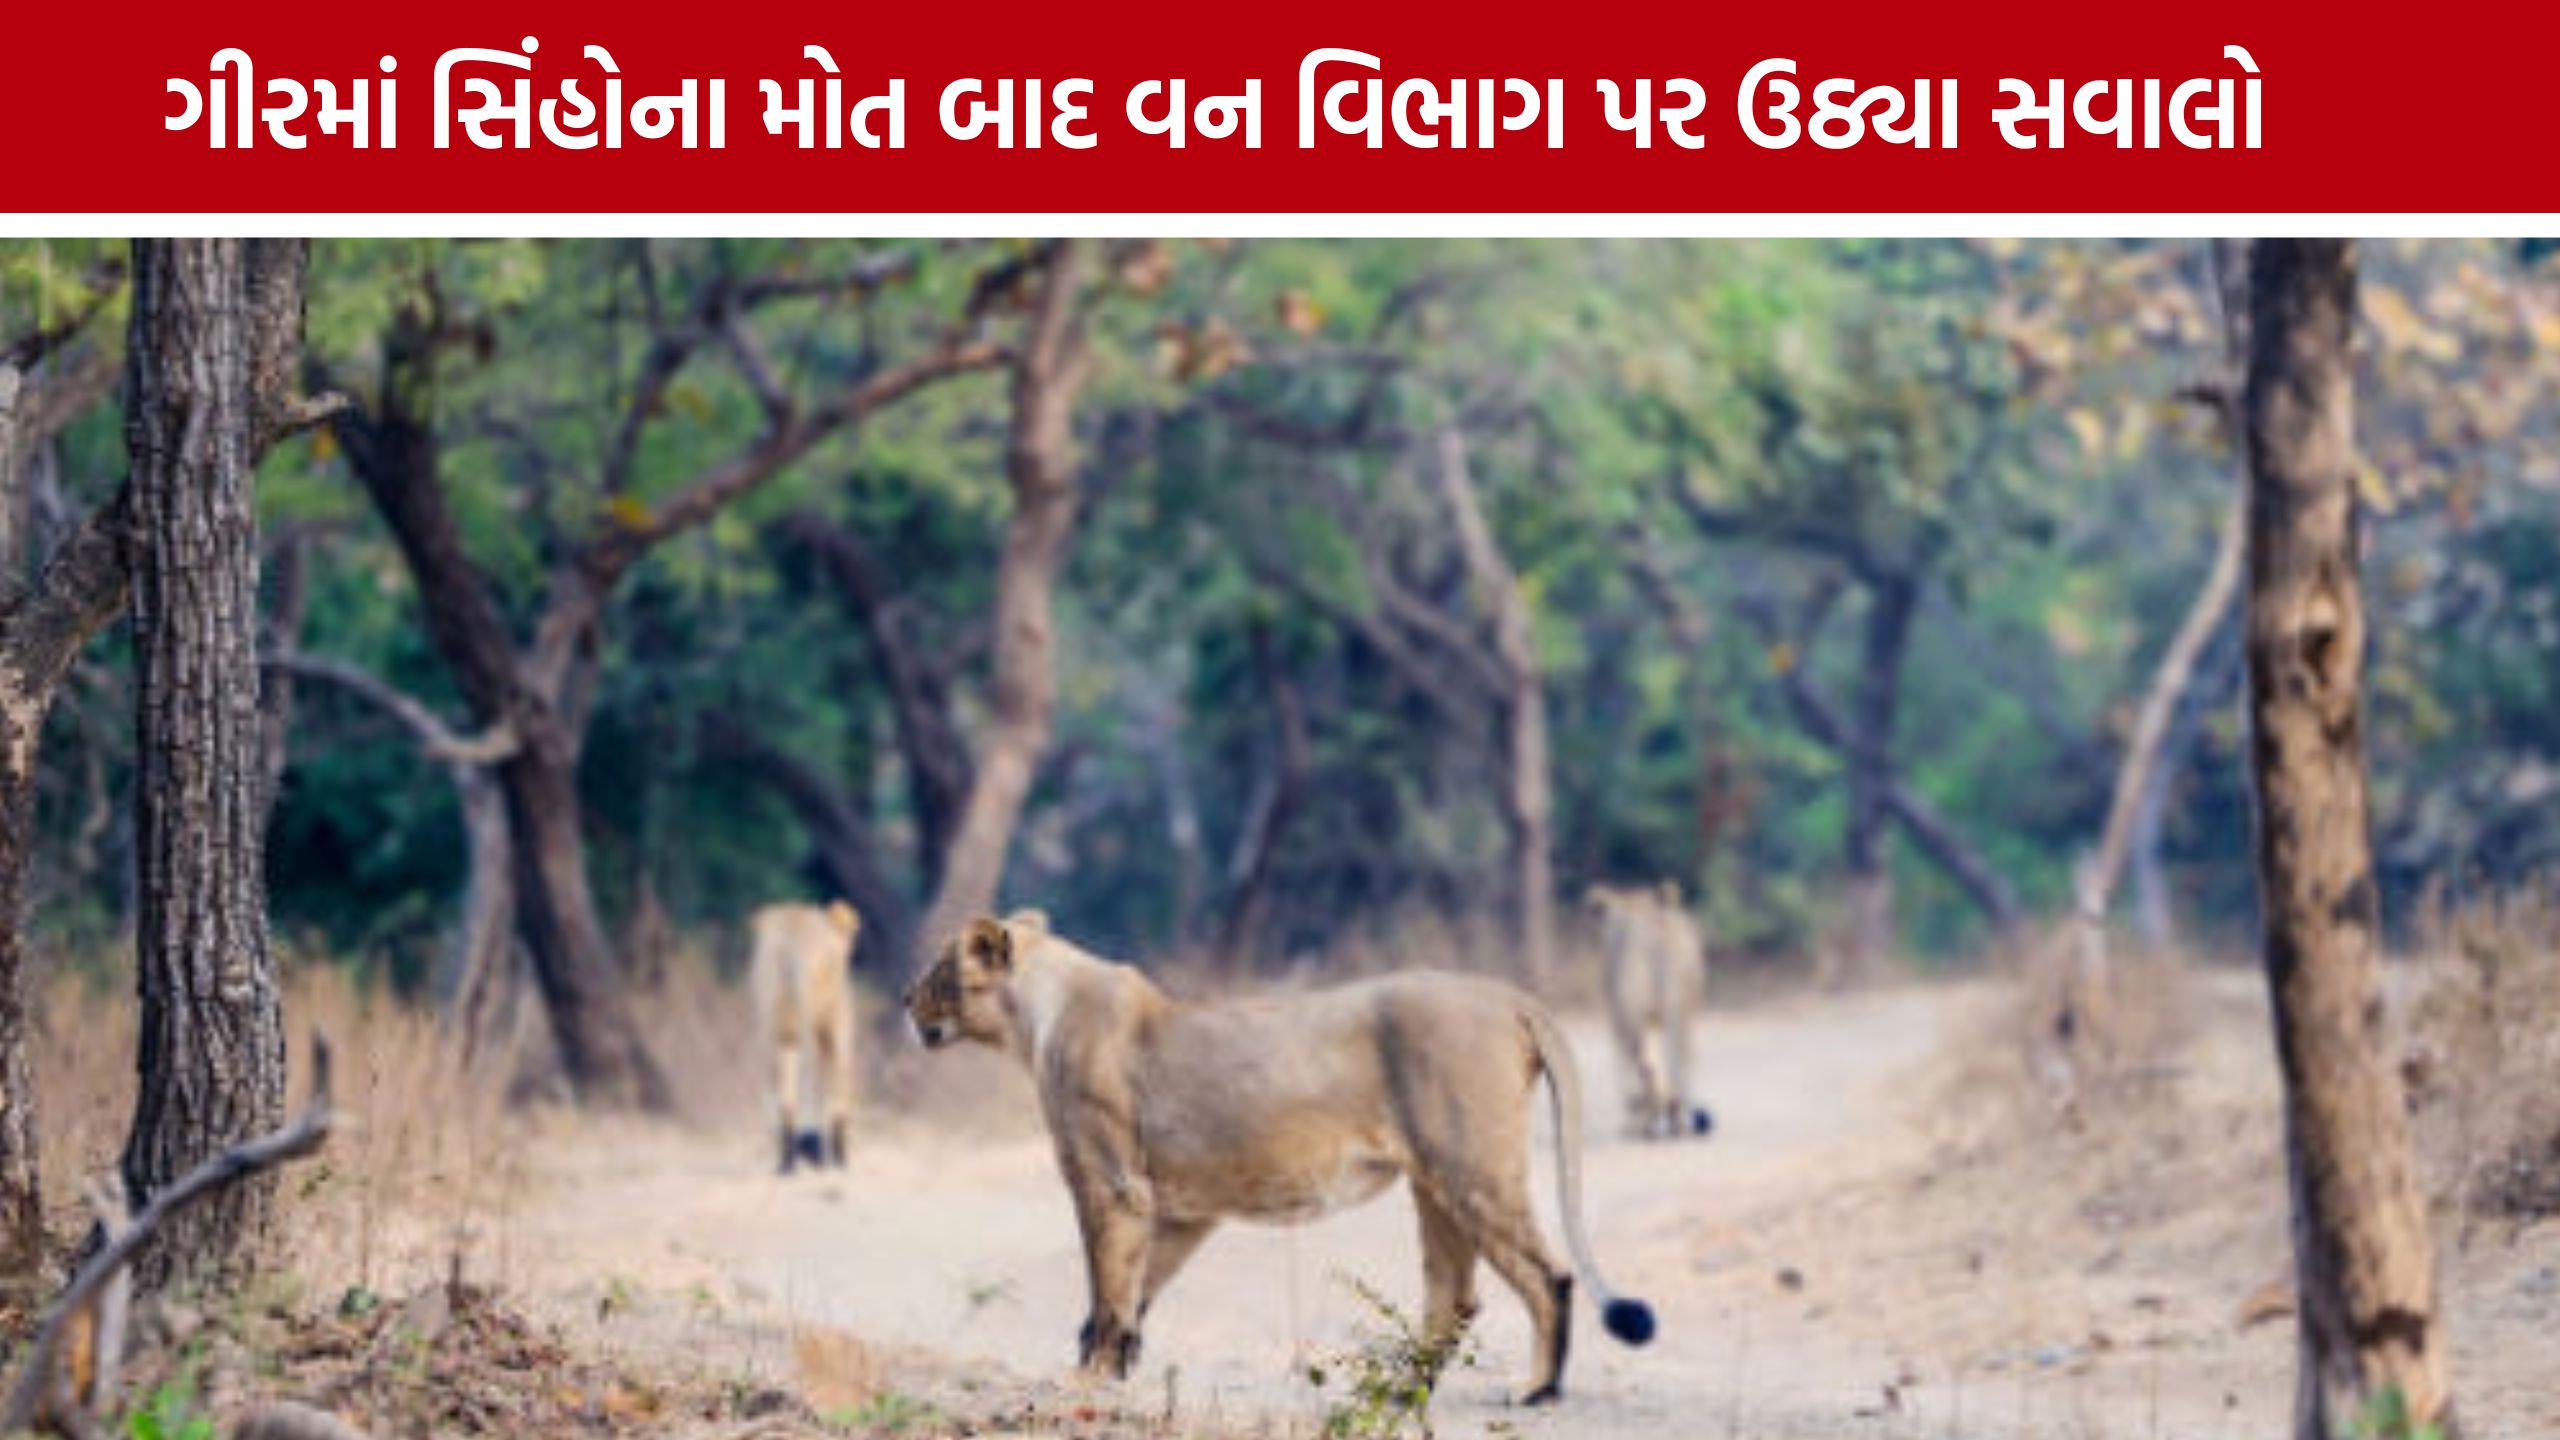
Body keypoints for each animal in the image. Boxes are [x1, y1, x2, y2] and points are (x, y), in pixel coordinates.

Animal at [749, 899, 862, 1173]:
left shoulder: (787, 1035)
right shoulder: (838, 1027)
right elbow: (839, 1082)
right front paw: (837, 1156)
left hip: (768, 1012)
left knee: (770, 1076)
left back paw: (786, 1158)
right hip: (808, 1014)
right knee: (813, 1075)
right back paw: (814, 1148)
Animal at [903, 911, 1656, 1404]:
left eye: (939, 969)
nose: (906, 1000)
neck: (1036, 1015)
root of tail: (1506, 995)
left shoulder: (1111, 1185)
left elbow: (1110, 1290)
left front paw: (1083, 1381)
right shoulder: (1177, 1210)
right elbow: (1134, 1291)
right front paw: (1111, 1372)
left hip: (1472, 1167)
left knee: (1548, 1276)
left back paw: (1535, 1390)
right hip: (1435, 1181)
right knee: (1455, 1296)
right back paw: (1396, 1388)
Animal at [1584, 882, 1712, 1141]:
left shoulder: (1618, 1010)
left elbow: (1631, 1061)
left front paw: (1634, 1122)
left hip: (1635, 1000)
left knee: (1645, 1061)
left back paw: (1651, 1120)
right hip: (1680, 1001)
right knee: (1677, 1056)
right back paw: (1674, 1118)